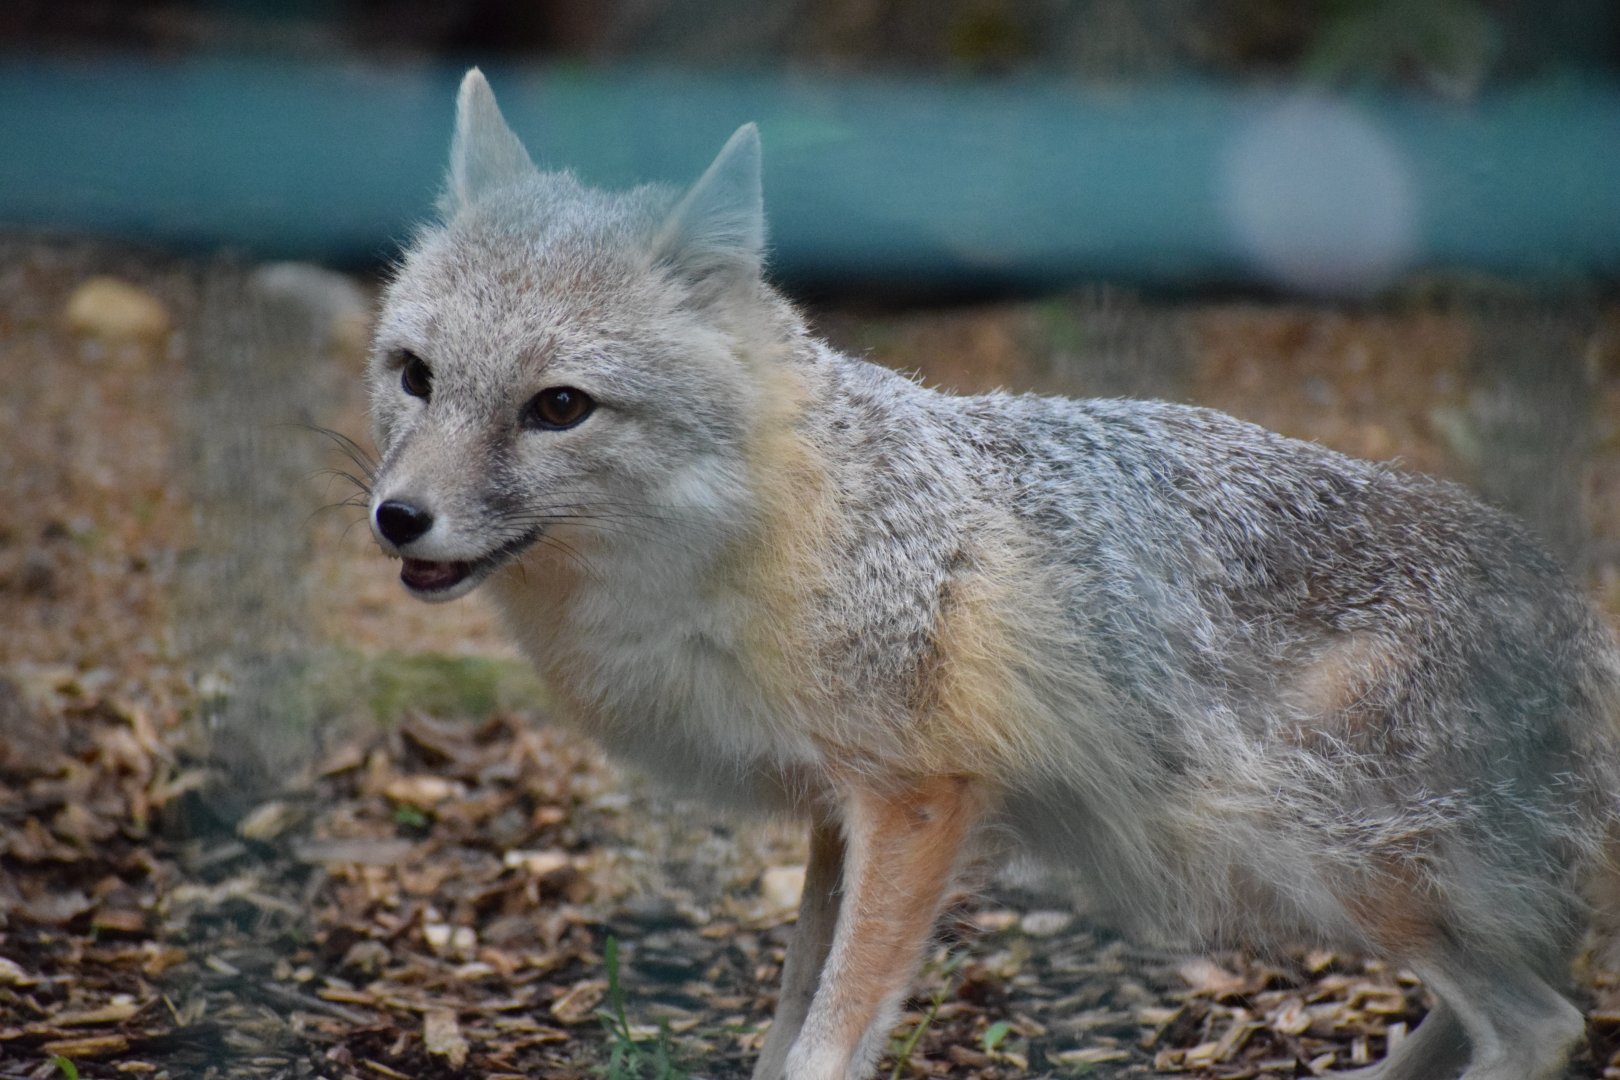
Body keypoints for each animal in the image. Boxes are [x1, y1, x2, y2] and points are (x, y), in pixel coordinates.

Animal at [363, 69, 1620, 1080]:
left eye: (557, 408)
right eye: (416, 375)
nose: (396, 518)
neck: (764, 530)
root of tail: (1581, 623)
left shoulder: (919, 798)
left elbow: (827, 1037)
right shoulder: (841, 813)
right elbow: (792, 1017)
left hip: (1321, 855)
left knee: (1542, 1024)